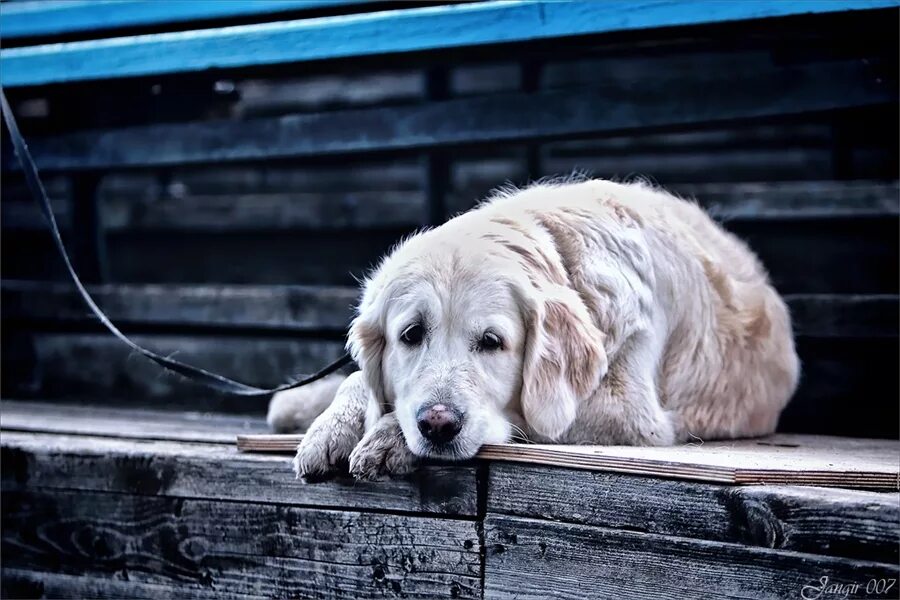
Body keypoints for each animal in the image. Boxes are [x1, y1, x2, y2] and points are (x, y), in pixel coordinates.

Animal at [268, 176, 800, 480]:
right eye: (411, 334)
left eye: (492, 342)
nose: (437, 424)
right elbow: (360, 379)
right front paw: (332, 427)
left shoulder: (632, 413)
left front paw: (387, 438)